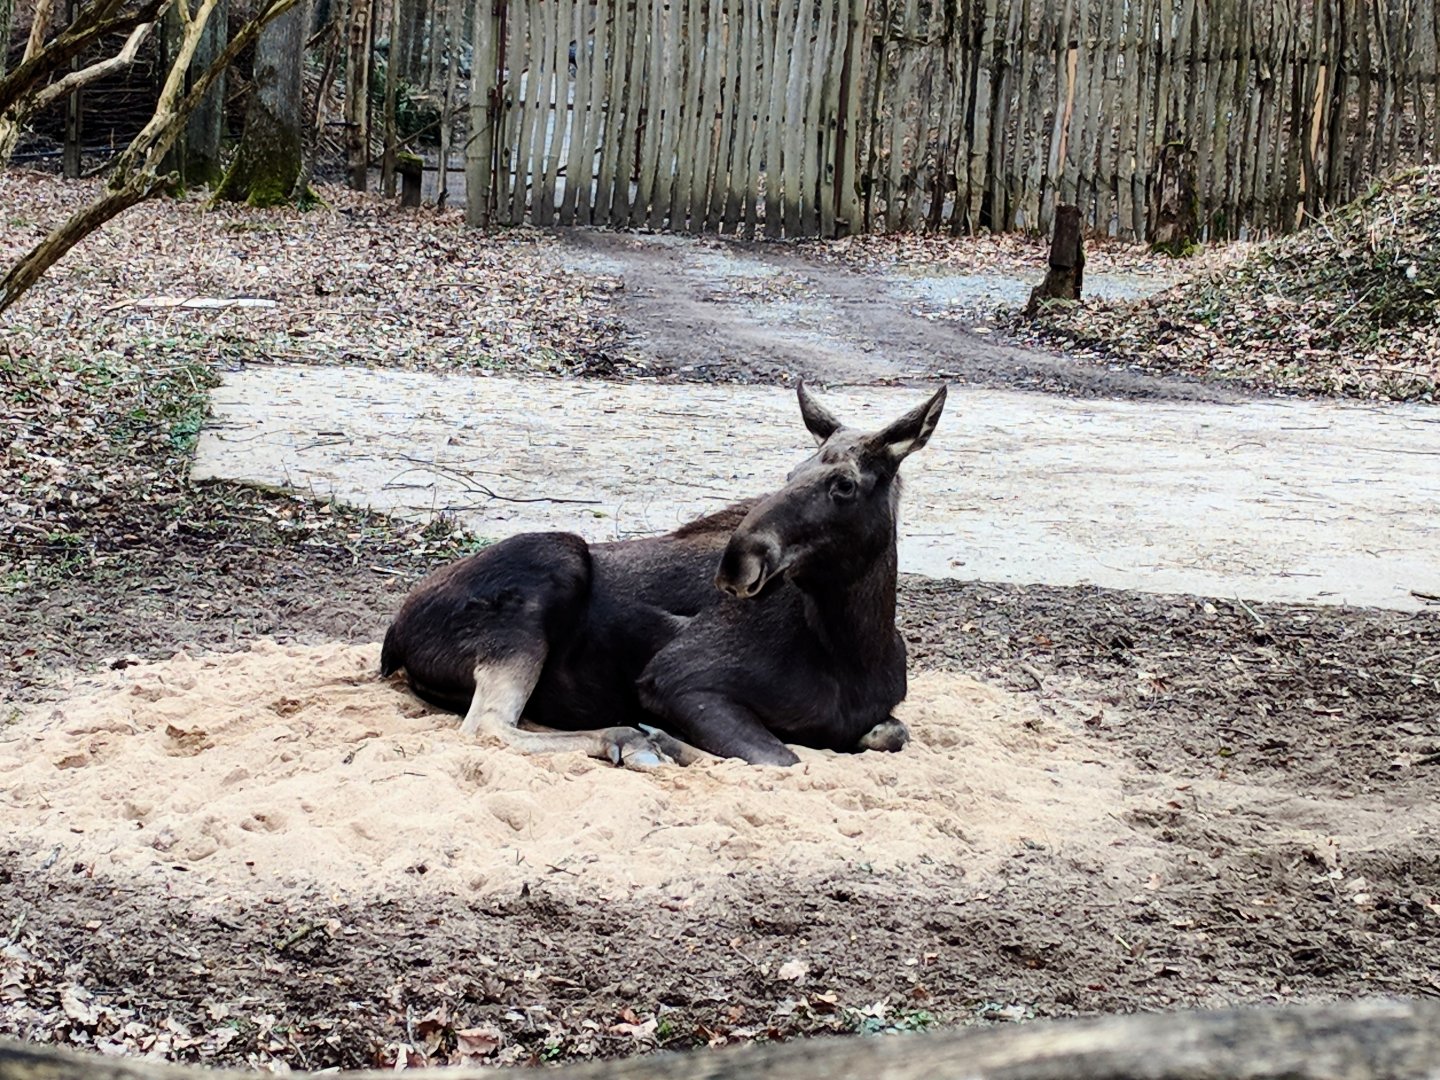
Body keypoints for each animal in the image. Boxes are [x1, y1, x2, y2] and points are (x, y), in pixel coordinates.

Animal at [380, 383, 947, 767]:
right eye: (791, 473)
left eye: (844, 484)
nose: (736, 561)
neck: (853, 647)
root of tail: (394, 636)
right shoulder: (675, 681)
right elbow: (778, 758)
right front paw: (661, 738)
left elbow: (891, 733)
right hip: (553, 566)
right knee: (488, 726)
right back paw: (626, 738)